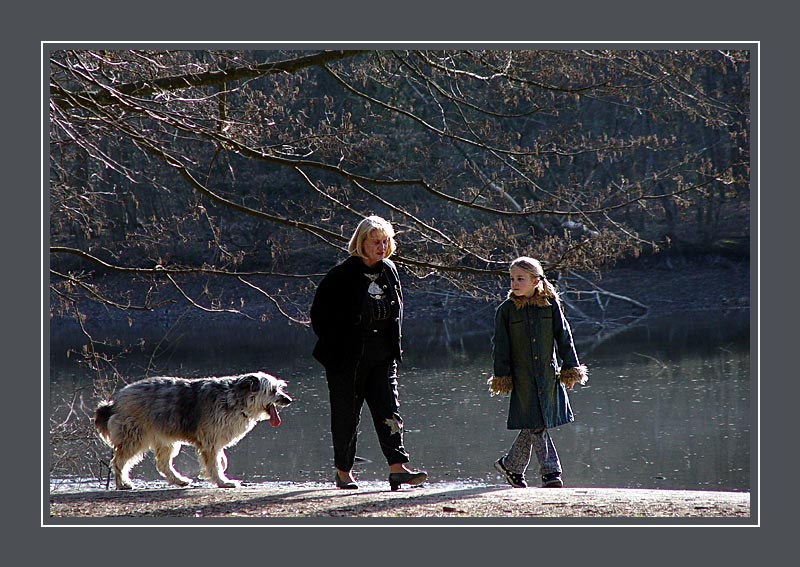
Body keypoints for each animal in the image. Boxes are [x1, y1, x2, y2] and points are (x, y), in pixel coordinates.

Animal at [93, 372, 292, 488]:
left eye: (279, 388)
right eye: (272, 390)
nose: (288, 400)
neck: (235, 398)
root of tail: (115, 401)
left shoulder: (214, 441)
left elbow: (220, 460)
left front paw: (213, 472)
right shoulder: (210, 441)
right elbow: (214, 462)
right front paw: (222, 481)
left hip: (165, 439)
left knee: (163, 464)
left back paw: (178, 480)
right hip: (134, 437)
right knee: (118, 461)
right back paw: (122, 483)